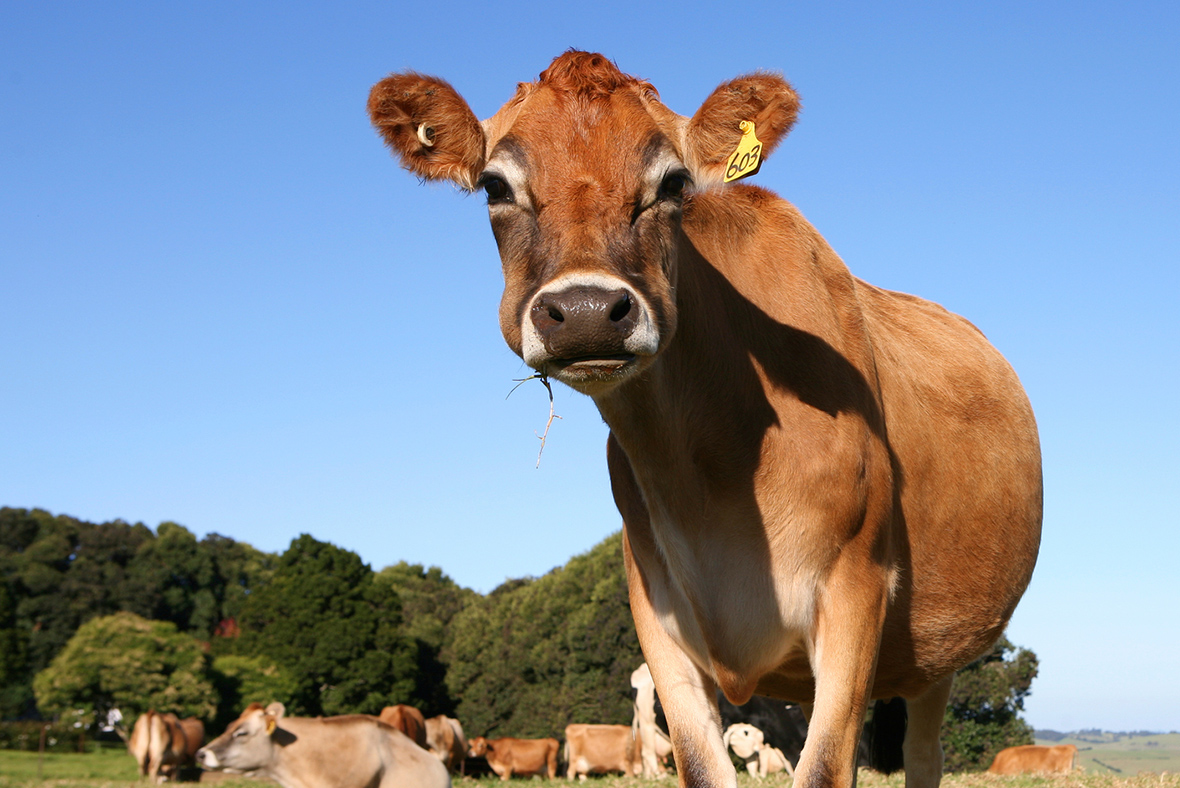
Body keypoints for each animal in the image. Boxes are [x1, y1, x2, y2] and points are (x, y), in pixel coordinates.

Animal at [368, 50, 1043, 788]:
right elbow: (700, 763)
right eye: (494, 185)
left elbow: (823, 768)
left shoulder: (855, 588)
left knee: (924, 755)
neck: (713, 475)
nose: (585, 311)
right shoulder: (657, 609)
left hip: (934, 657)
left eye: (672, 183)